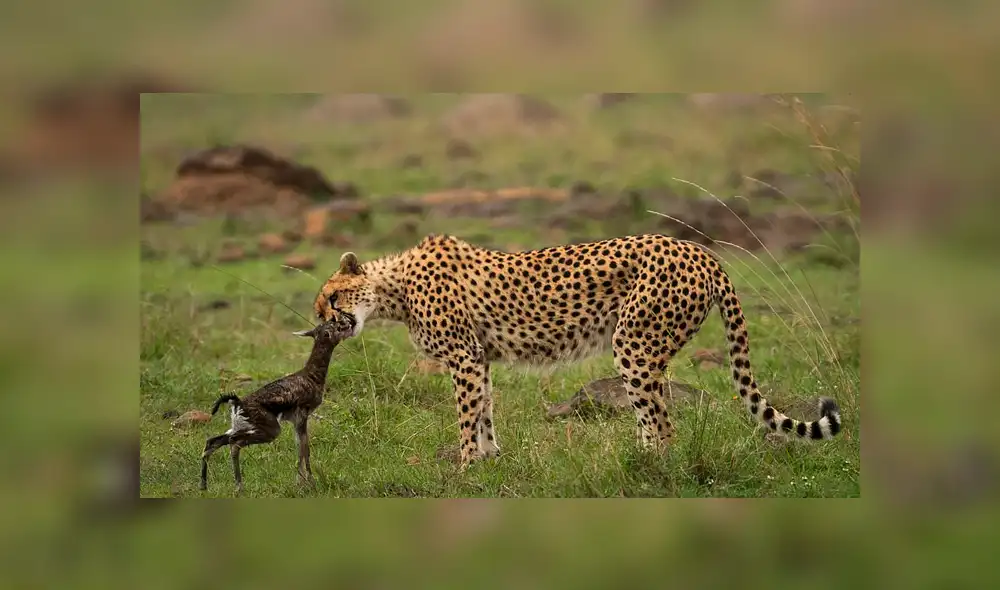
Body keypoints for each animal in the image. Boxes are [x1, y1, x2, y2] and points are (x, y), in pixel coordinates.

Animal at [312, 233, 842, 469]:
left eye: (332, 299)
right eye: (320, 308)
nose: (324, 328)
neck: (394, 289)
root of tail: (698, 251)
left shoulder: (463, 358)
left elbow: (466, 417)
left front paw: (464, 469)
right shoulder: (479, 359)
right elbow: (485, 410)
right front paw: (490, 459)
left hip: (633, 343)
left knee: (663, 424)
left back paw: (651, 469)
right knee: (655, 419)